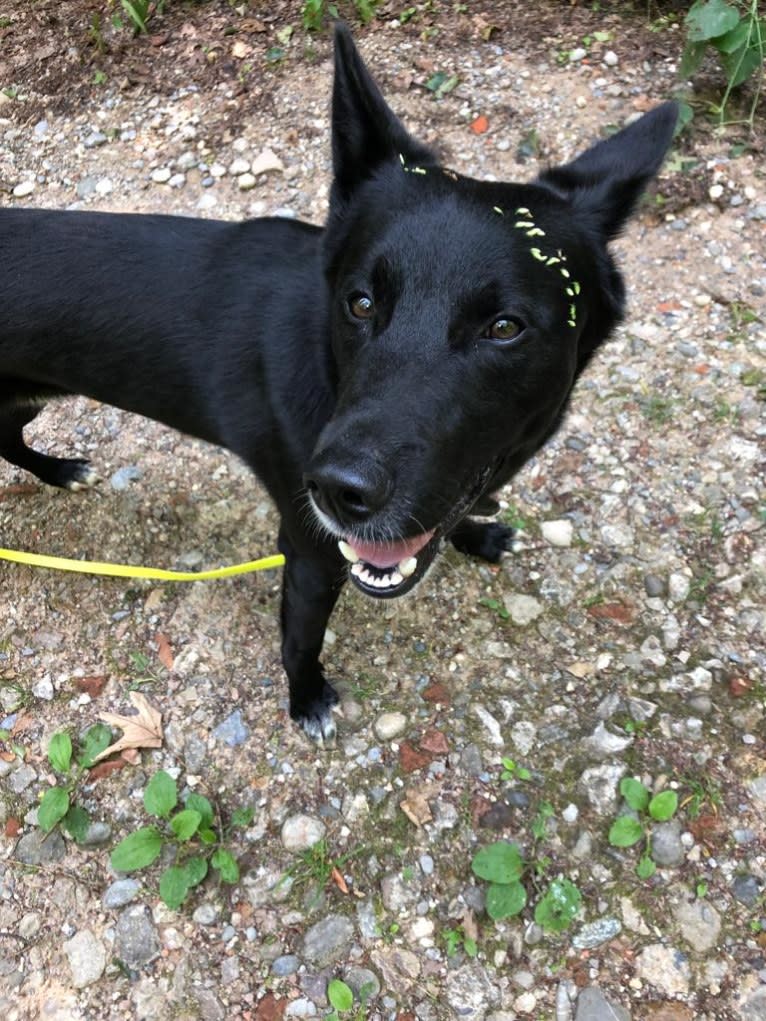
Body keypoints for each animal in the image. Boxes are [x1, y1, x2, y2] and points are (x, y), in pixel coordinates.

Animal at [0, 25, 674, 743]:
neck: (328, 370)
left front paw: (476, 533)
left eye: (505, 327)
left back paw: (58, 470)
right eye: (359, 303)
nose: (339, 491)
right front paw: (306, 698)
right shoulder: (311, 553)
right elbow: (301, 638)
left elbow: (450, 513)